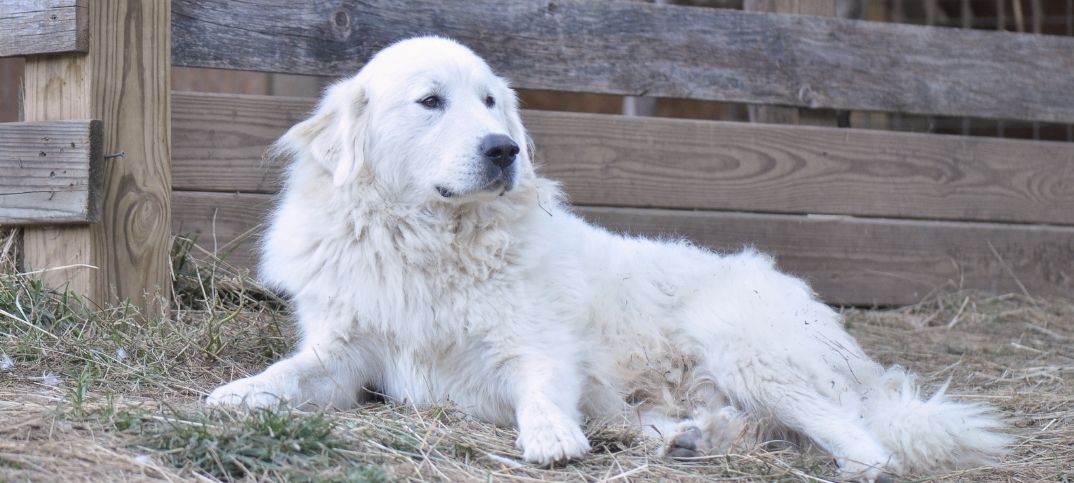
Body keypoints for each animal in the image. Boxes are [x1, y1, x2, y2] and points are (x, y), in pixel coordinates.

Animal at [207, 36, 1005, 478]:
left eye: (491, 102)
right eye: (431, 101)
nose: (505, 150)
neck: (430, 238)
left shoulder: (534, 343)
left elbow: (538, 385)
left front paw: (551, 435)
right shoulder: (346, 352)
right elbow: (292, 371)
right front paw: (241, 392)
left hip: (745, 345)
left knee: (867, 445)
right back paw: (687, 440)